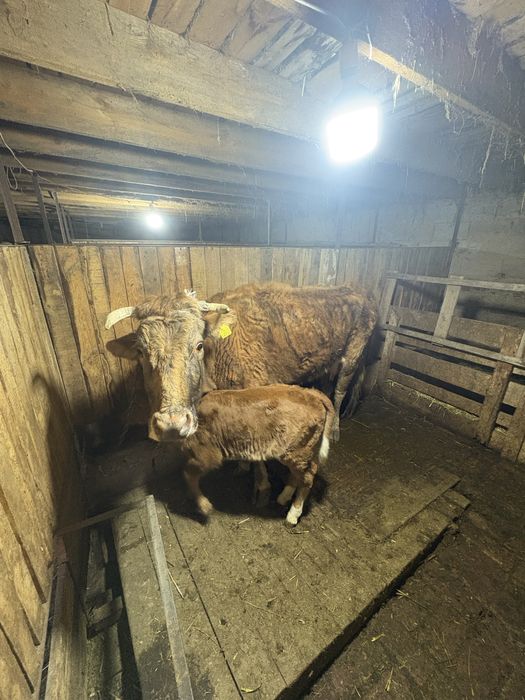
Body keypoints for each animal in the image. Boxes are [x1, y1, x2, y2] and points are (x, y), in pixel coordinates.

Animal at [106, 282, 377, 502]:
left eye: (199, 345)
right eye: (141, 352)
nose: (173, 423)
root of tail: (358, 291)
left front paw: (261, 484)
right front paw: (242, 466)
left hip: (353, 352)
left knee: (340, 390)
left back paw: (336, 428)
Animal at [173, 384, 334, 526]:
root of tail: (311, 393)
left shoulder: (207, 453)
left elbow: (188, 473)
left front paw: (203, 504)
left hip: (296, 451)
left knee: (308, 478)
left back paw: (292, 516)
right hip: (301, 450)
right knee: (300, 474)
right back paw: (283, 497)